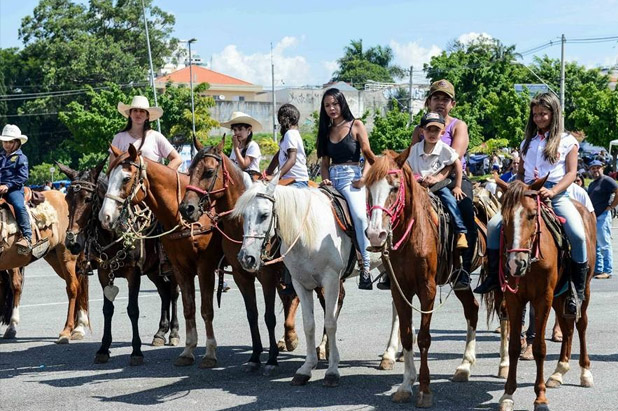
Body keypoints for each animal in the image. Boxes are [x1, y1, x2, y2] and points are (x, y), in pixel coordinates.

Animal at [57, 163, 180, 366]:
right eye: (67, 199)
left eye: (88, 199)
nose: (72, 242)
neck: (115, 232)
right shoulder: (104, 272)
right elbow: (108, 310)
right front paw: (103, 349)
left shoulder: (134, 273)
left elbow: (133, 310)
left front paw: (136, 351)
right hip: (153, 271)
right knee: (164, 293)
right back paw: (160, 333)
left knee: (174, 293)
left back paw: (174, 333)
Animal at [364, 152, 498, 408]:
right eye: (367, 187)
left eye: (394, 187)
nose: (376, 234)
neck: (414, 234)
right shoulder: (400, 289)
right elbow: (407, 334)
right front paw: (406, 385)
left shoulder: (427, 290)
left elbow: (424, 338)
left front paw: (424, 390)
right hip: (458, 281)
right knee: (472, 309)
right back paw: (465, 366)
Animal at [490, 179, 592, 411]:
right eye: (504, 216)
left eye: (530, 215)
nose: (516, 263)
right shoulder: (514, 299)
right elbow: (514, 346)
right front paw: (507, 394)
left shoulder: (543, 298)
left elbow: (539, 348)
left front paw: (540, 398)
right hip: (560, 296)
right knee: (567, 326)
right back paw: (559, 371)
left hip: (583, 290)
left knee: (581, 325)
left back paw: (585, 372)